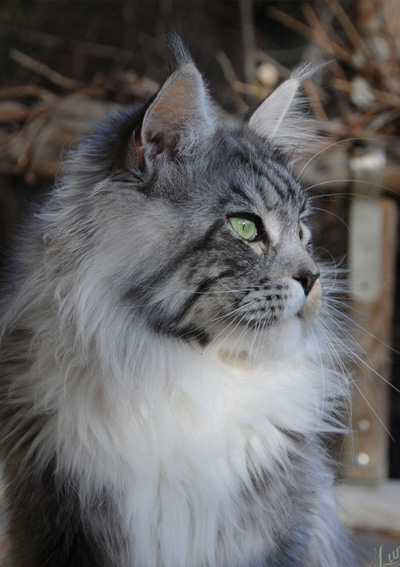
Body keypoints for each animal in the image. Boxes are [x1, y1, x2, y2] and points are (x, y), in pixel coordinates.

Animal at [0, 35, 360, 567]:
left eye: (302, 231)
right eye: (246, 227)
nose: (313, 278)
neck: (178, 376)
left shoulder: (282, 535)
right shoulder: (59, 524)